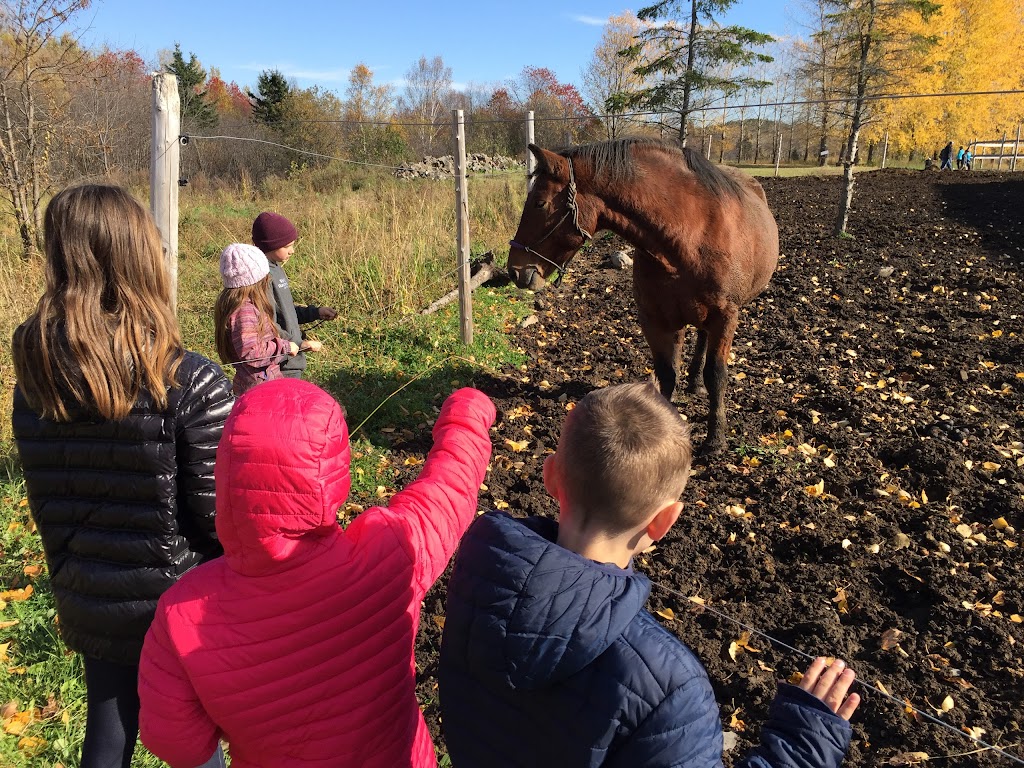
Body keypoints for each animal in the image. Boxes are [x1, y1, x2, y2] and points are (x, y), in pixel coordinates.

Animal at [507, 138, 778, 454]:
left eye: (539, 203)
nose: (514, 270)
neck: (690, 236)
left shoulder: (725, 317)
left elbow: (717, 375)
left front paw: (715, 440)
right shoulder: (656, 319)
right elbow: (667, 375)